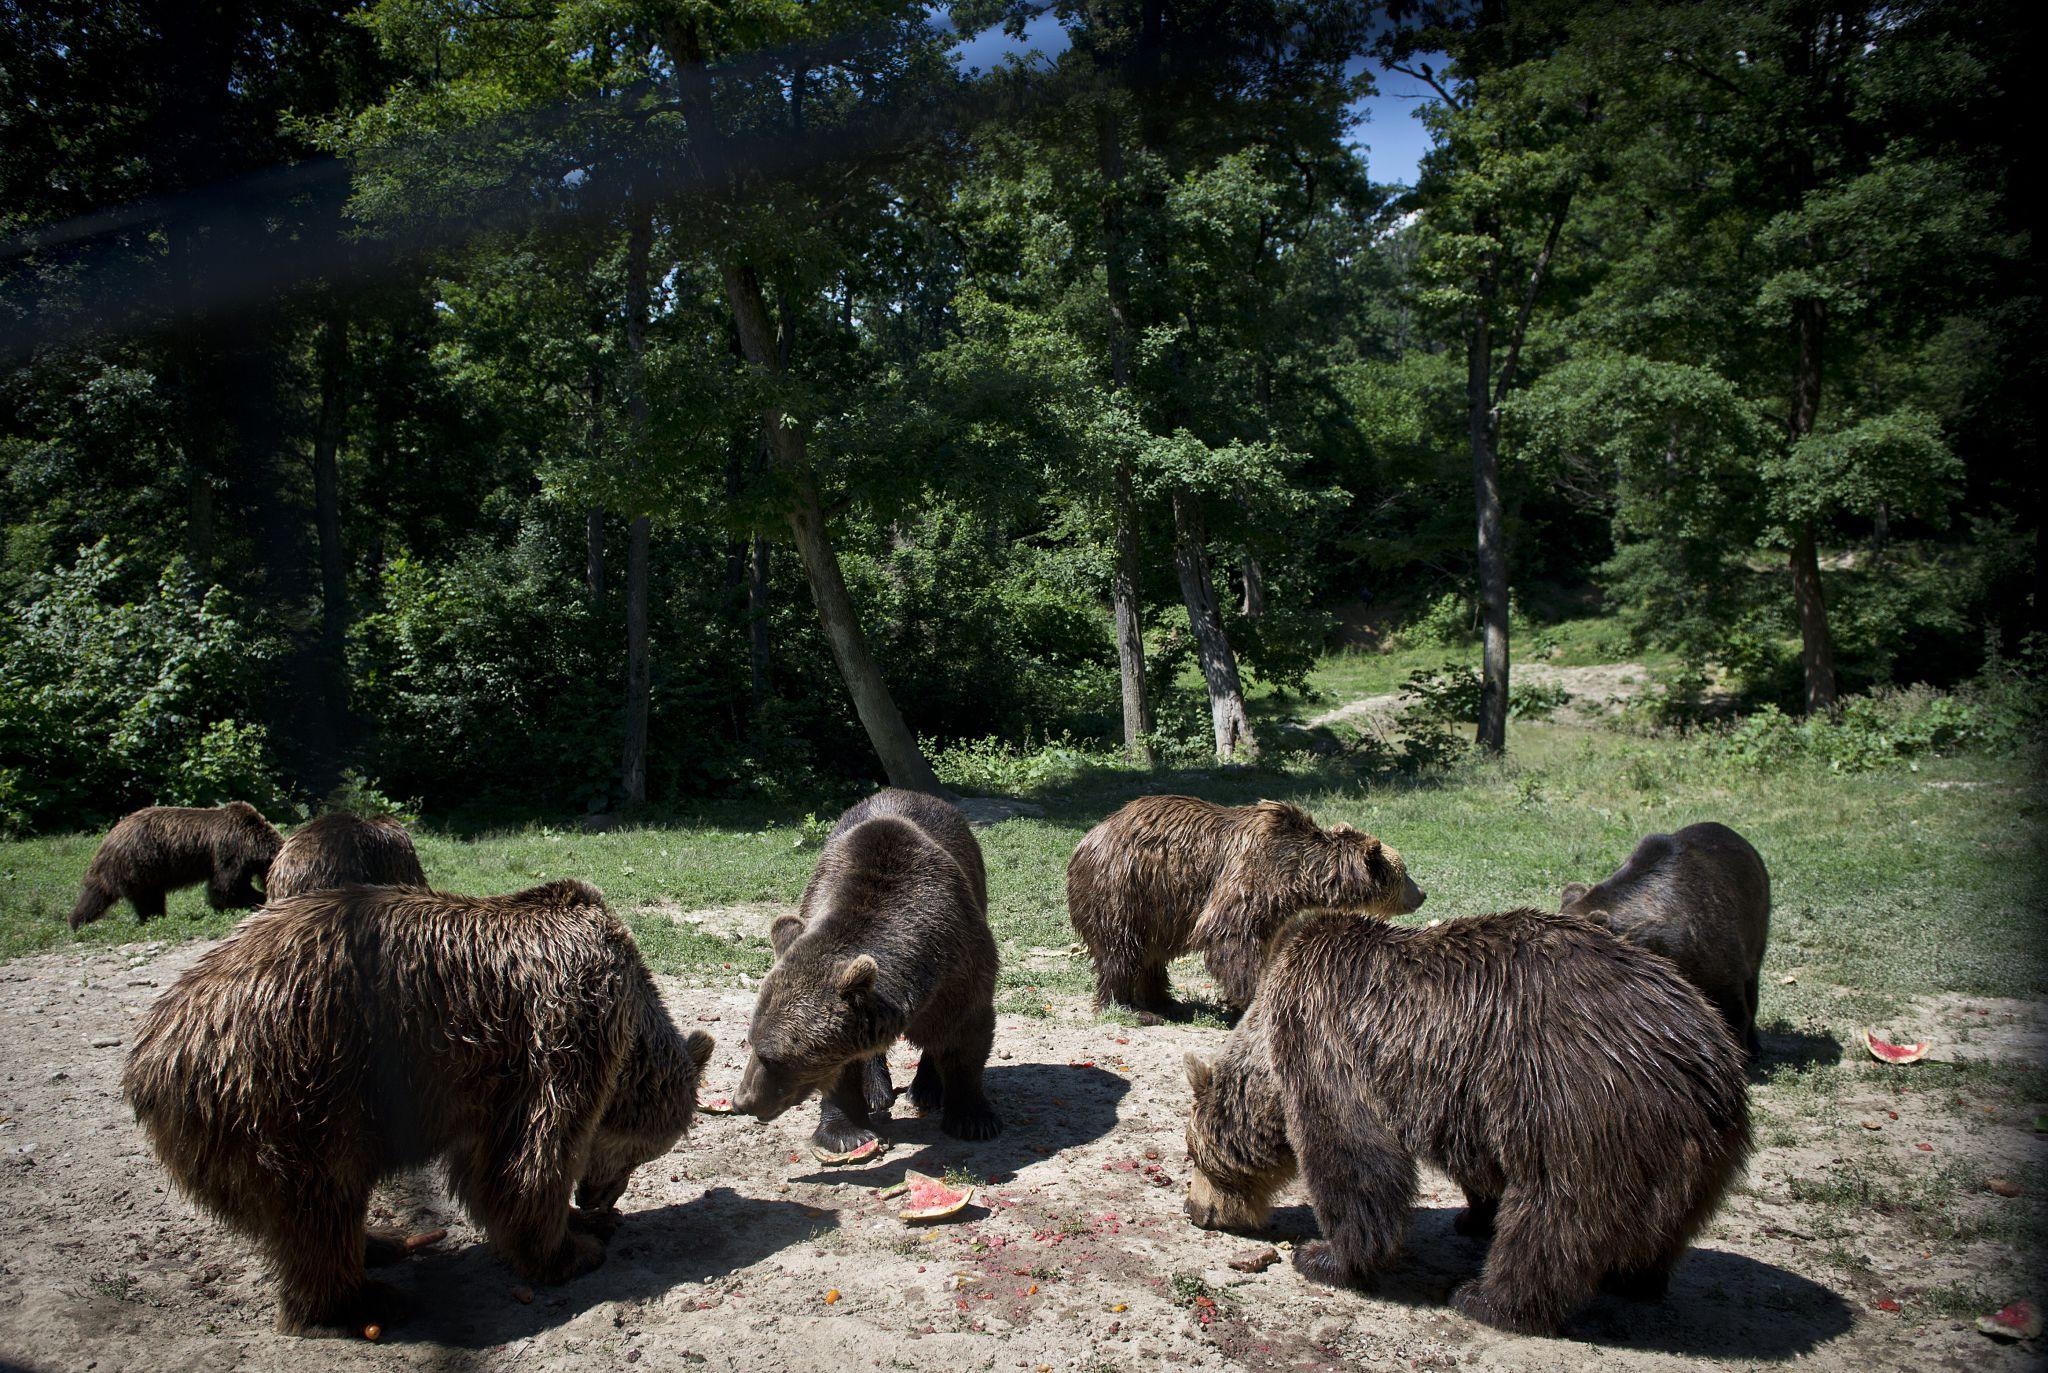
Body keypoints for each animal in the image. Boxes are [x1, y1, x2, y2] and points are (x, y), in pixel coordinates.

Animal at [69, 801, 283, 930]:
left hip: (144, 871)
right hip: (139, 862)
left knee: (110, 893)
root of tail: (113, 834)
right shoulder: (231, 852)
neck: (254, 842)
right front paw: (254, 899)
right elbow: (226, 886)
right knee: (116, 894)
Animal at [122, 878, 711, 1336]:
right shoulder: (566, 1021)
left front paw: (577, 1223)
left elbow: (488, 1165)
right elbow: (535, 1152)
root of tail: (152, 1050)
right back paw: (364, 1297)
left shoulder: (490, 1076)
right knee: (319, 1200)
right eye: (644, 1152)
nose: (598, 1198)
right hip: (293, 1088)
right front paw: (570, 1249)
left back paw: (377, 1244)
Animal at [732, 788, 1002, 1156]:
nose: (742, 1102)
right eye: (751, 1042)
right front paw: (845, 1131)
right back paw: (877, 1091)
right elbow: (842, 1066)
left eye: (770, 1057)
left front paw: (973, 1118)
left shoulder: (961, 969)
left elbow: (966, 1037)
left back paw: (926, 1090)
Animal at [1066, 796, 1425, 1020]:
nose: (1421, 894)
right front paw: (1251, 998)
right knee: (1120, 949)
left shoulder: (1277, 904)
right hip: (1124, 888)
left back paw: (1165, 1001)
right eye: (1404, 872)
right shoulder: (1252, 873)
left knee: (1151, 955)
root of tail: (1088, 839)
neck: (1300, 874)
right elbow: (1230, 936)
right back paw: (1132, 1008)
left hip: (1158, 907)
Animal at [1182, 908, 1751, 1336]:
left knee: (1555, 1217)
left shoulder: (1324, 1033)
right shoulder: (1461, 1103)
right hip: (1683, 1154)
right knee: (1662, 1226)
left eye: (1192, 1153)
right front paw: (1473, 1214)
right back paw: (1638, 1279)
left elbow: (1353, 1154)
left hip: (1583, 1109)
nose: (1194, 1211)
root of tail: (1712, 1062)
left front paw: (1326, 1256)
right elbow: (1472, 1164)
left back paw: (1489, 1299)